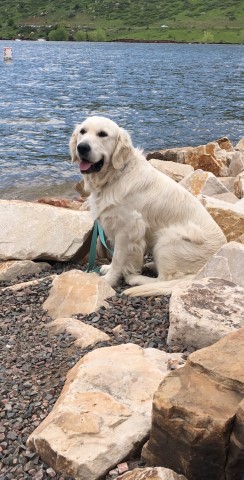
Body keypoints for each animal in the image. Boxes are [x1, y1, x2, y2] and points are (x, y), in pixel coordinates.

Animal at [69, 116, 226, 296]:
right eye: (82, 132)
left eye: (103, 134)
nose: (82, 147)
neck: (115, 176)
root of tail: (203, 271)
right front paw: (108, 269)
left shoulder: (128, 229)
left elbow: (118, 258)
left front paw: (108, 280)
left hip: (167, 239)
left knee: (165, 279)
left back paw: (138, 279)